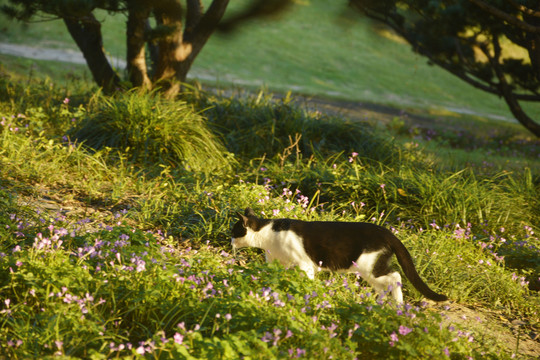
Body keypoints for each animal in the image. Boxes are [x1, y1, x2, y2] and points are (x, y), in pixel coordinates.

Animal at [231, 208, 448, 304]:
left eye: (233, 231)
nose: (230, 241)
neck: (267, 234)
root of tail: (387, 232)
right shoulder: (277, 263)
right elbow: (269, 275)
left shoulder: (304, 265)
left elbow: (306, 283)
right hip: (369, 271)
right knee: (383, 285)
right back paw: (381, 306)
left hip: (368, 266)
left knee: (395, 276)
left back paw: (398, 304)